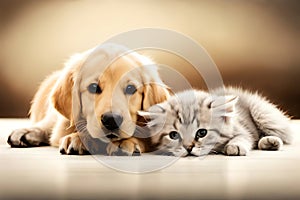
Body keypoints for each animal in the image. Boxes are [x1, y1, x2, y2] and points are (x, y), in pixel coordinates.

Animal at [7, 43, 170, 155]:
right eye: (93, 87)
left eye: (131, 89)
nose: (111, 120)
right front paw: (78, 138)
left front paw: (125, 141)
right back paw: (25, 133)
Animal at [139, 87, 294, 156]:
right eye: (174, 135)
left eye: (201, 133)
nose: (188, 148)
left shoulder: (242, 130)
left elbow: (243, 137)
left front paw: (234, 146)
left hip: (262, 114)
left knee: (284, 136)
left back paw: (271, 142)